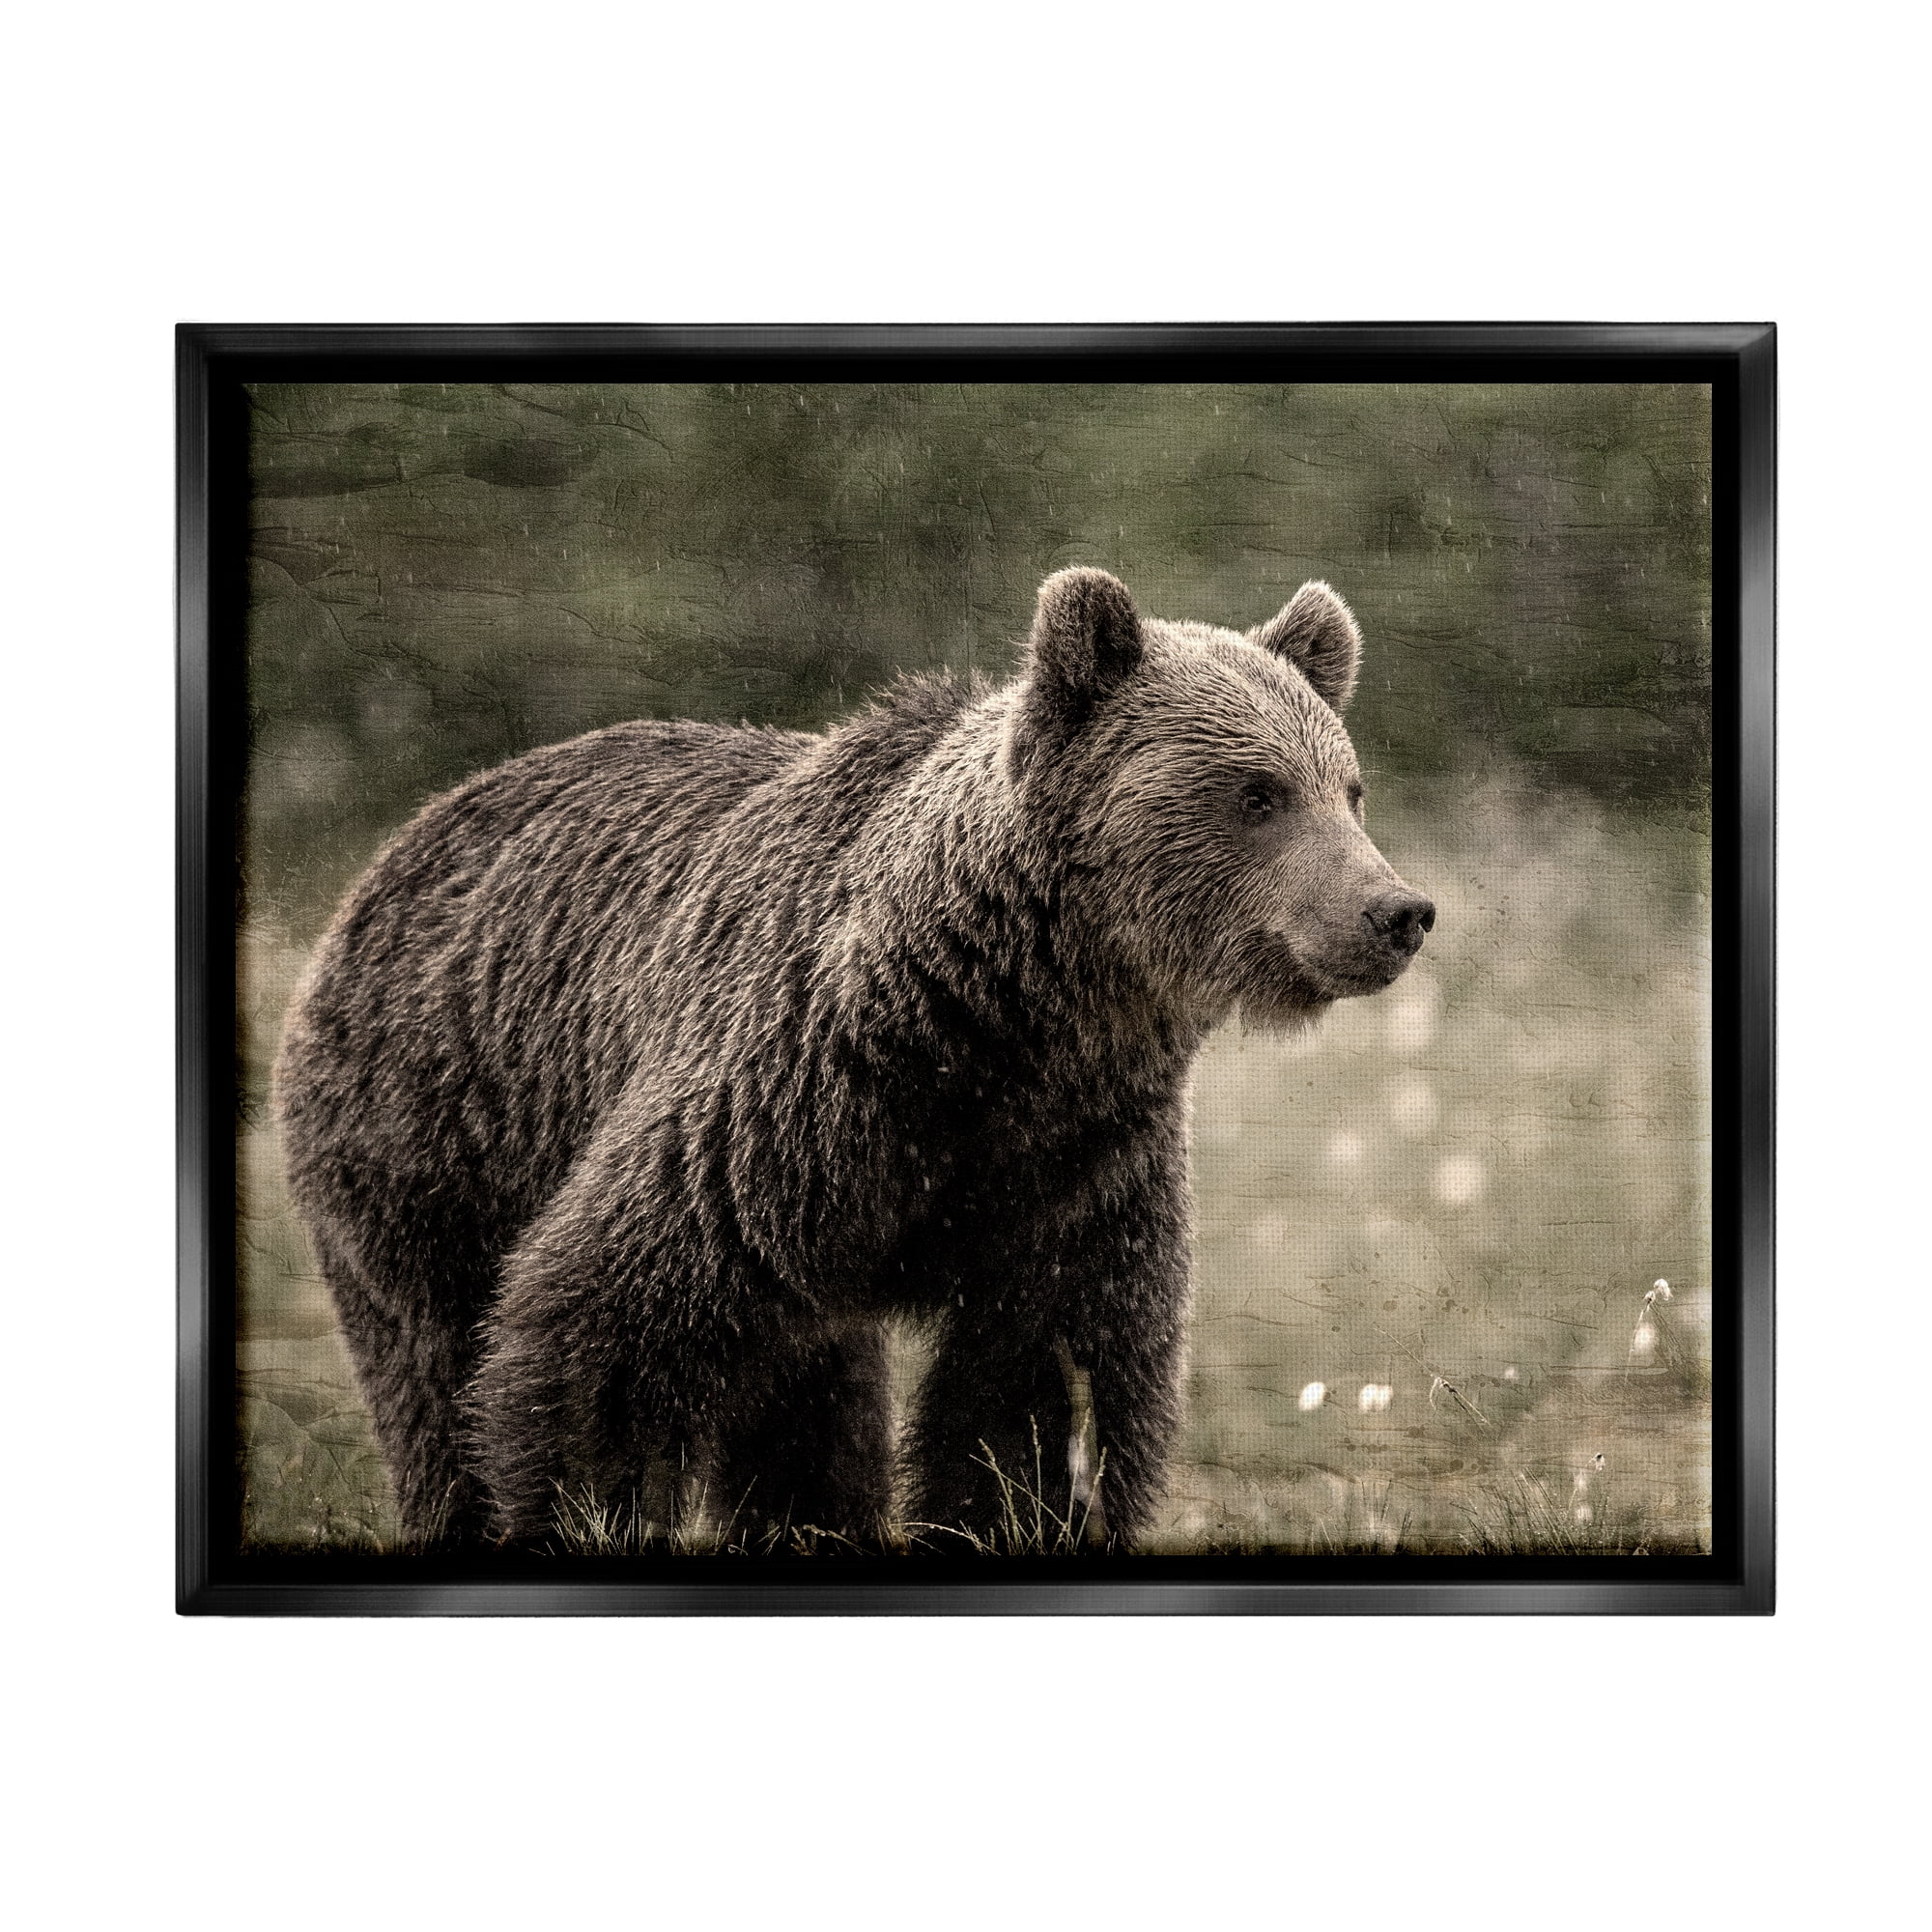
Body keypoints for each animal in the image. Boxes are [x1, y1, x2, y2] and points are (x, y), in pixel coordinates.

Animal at [274, 568, 1434, 1550]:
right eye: (1256, 791)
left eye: (1349, 786)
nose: (1396, 911)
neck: (1010, 1020)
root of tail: (396, 847)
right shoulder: (791, 1099)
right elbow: (602, 1330)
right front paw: (583, 1511)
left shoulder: (1078, 1162)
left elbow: (1040, 1385)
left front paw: (1015, 1513)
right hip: (433, 1134)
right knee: (436, 1364)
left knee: (808, 1398)